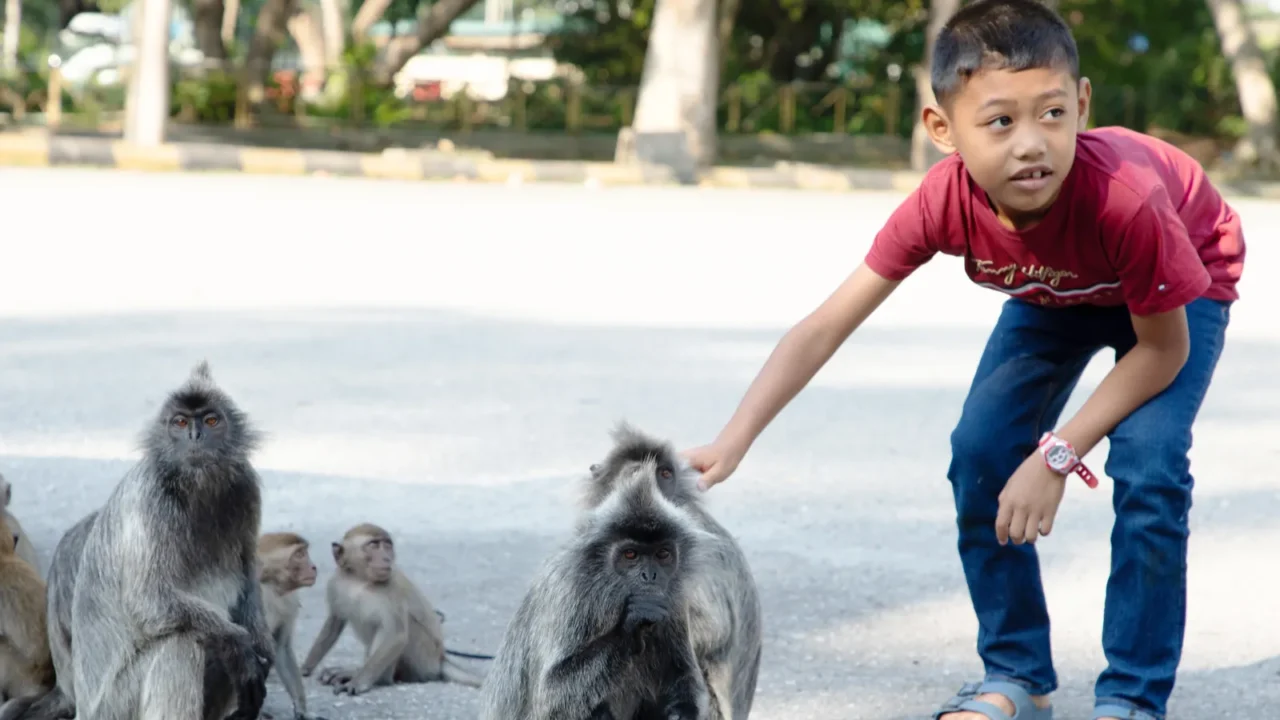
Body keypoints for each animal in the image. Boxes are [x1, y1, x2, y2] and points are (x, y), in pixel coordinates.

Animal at [64, 361, 275, 720]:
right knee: (180, 642)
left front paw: (261, 649)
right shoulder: (151, 499)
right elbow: (150, 602)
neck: (196, 486)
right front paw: (241, 646)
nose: (195, 436)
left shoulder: (246, 487)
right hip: (116, 705)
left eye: (211, 420)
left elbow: (247, 576)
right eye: (180, 422)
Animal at [257, 532, 327, 720]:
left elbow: (281, 649)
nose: (313, 567)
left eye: (304, 552)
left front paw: (302, 709)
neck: (271, 584)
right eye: (299, 555)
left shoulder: (288, 600)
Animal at [299, 523, 484, 695]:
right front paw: (306, 667)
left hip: (422, 658)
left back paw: (376, 678)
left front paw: (359, 682)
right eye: (374, 545)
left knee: (395, 627)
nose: (387, 559)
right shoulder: (335, 583)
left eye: (387, 545)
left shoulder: (391, 588)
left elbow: (396, 635)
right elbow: (334, 622)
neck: (360, 580)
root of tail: (440, 658)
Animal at [477, 423, 764, 720]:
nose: (649, 575)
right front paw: (630, 627)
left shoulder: (675, 590)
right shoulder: (570, 587)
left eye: (665, 474)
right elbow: (550, 695)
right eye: (630, 555)